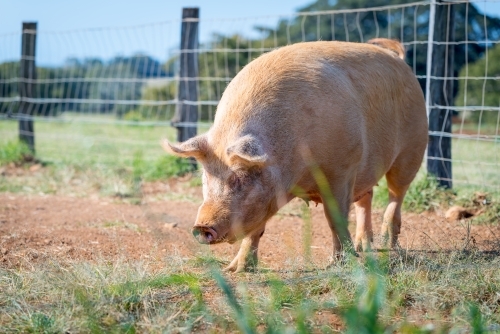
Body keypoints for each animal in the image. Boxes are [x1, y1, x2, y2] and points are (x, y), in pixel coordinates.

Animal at [162, 37, 428, 272]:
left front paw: (338, 266)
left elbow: (335, 219)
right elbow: (255, 230)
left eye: (239, 177)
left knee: (396, 194)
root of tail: (398, 58)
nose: (201, 227)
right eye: (205, 177)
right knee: (367, 197)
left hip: (413, 148)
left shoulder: (341, 169)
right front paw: (236, 270)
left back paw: (388, 246)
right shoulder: (267, 196)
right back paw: (365, 247)